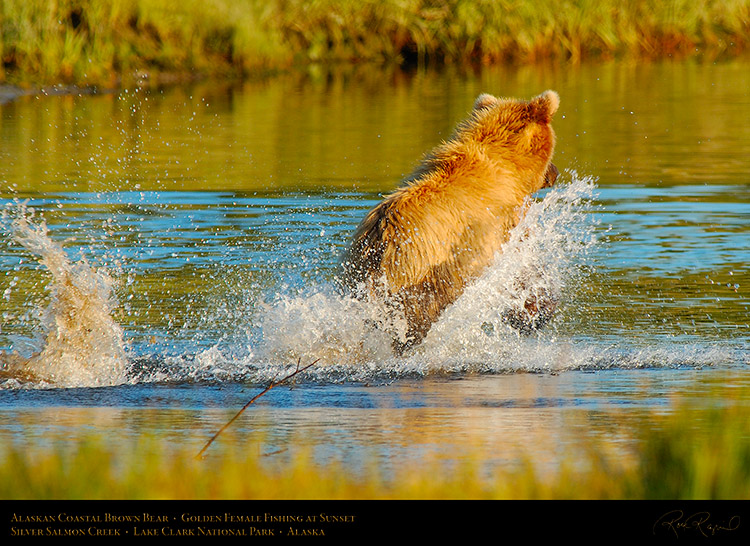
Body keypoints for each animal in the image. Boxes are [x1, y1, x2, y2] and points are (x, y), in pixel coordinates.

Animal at [338, 89, 560, 352]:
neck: (510, 168)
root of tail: (380, 243)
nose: (555, 173)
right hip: (420, 275)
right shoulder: (499, 222)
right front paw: (534, 310)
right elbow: (522, 266)